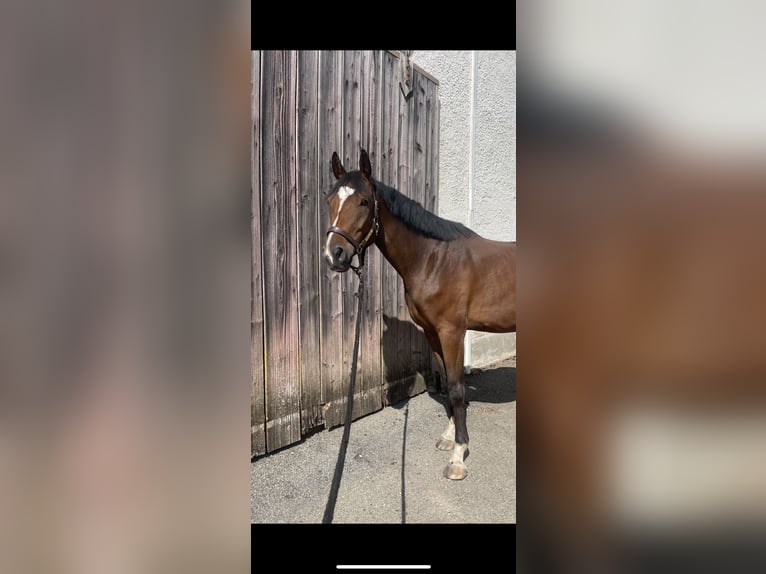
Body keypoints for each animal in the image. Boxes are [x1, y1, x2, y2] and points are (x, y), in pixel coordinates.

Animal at [323, 149, 516, 480]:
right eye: (330, 200)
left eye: (363, 202)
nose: (334, 254)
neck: (434, 260)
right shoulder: (432, 332)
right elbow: (445, 381)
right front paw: (449, 438)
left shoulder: (453, 332)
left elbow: (456, 389)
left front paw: (458, 457)